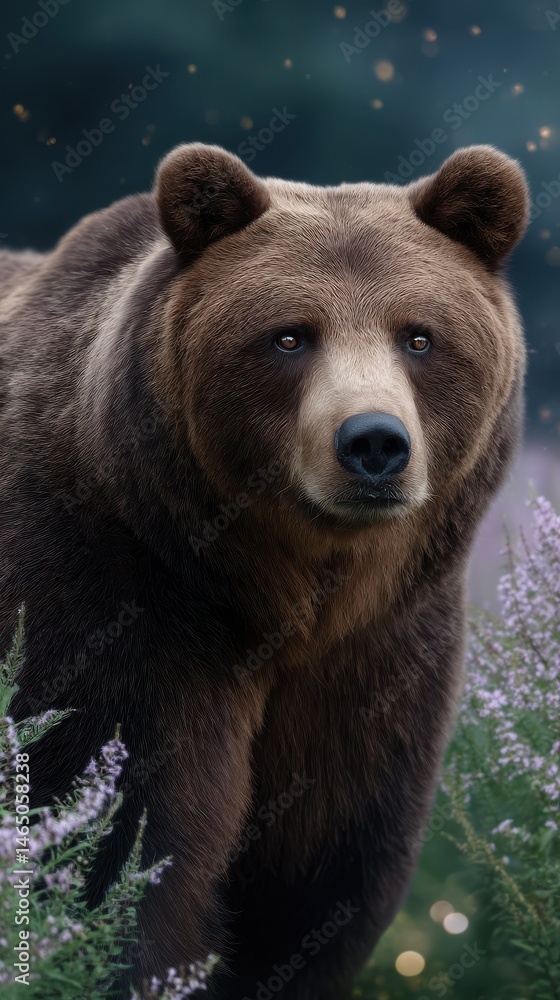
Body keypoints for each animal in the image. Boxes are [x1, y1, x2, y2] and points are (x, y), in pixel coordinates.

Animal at [0, 142, 528, 998]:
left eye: (419, 338)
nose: (374, 442)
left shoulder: (377, 656)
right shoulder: (110, 598)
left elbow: (316, 881)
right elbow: (113, 834)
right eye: (289, 337)